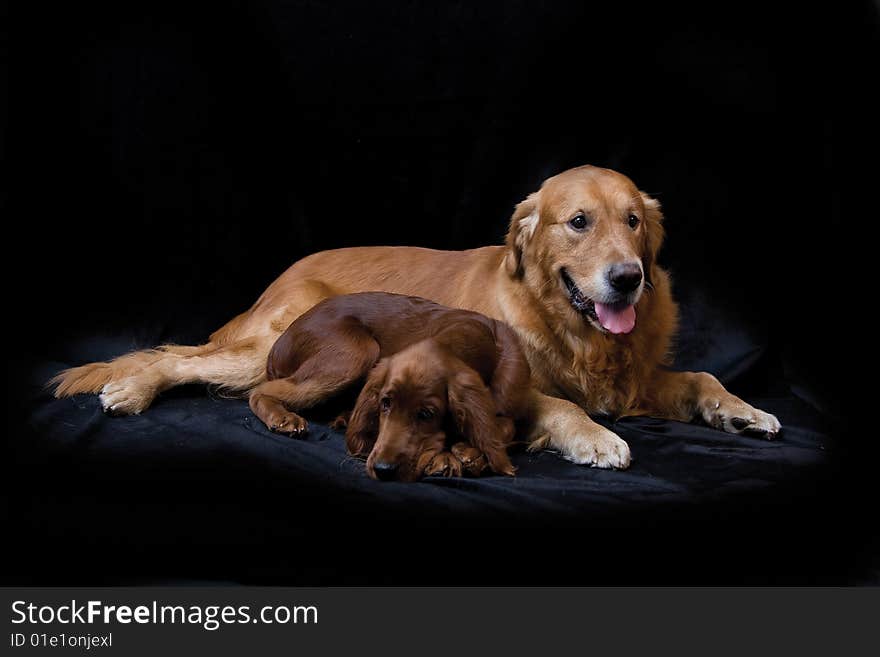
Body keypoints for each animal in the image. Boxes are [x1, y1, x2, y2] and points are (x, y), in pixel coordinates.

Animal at [248, 292, 524, 482]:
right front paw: (448, 457)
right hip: (358, 351)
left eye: (427, 414)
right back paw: (283, 418)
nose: (382, 469)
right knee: (259, 391)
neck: (486, 341)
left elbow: (506, 427)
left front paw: (471, 452)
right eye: (385, 403)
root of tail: (279, 343)